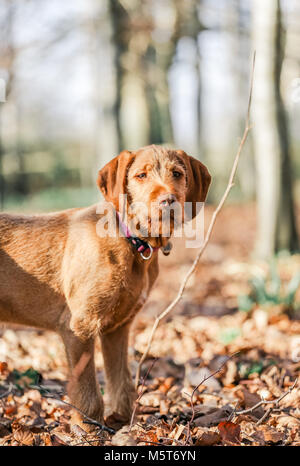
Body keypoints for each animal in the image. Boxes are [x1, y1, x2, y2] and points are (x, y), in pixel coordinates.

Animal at [0, 145, 211, 430]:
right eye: (141, 176)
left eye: (177, 173)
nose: (168, 200)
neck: (130, 241)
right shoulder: (79, 326)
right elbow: (87, 389)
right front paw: (89, 429)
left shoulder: (117, 328)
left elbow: (120, 379)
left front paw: (120, 422)